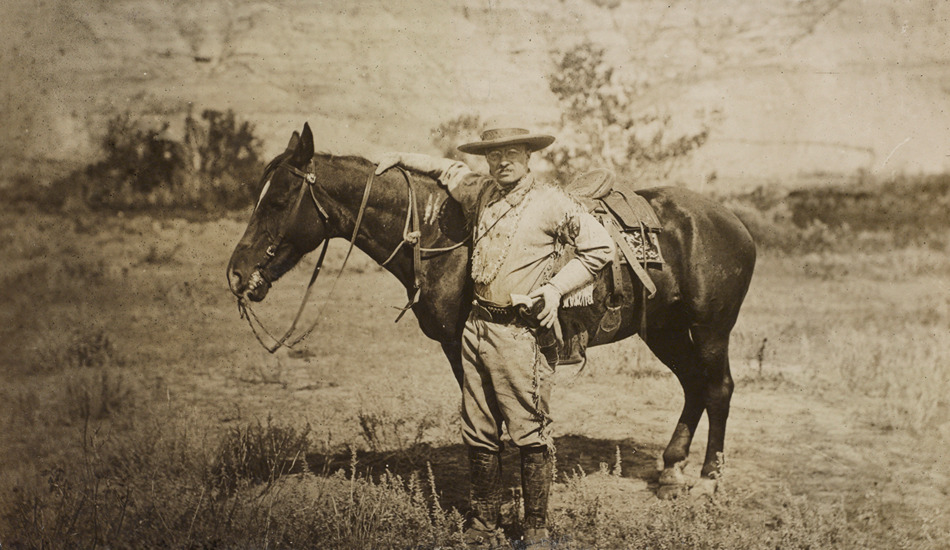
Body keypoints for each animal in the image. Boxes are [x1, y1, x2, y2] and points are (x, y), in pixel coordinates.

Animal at [229, 125, 760, 500]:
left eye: (278, 200)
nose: (236, 273)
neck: (439, 237)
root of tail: (733, 221)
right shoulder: (460, 346)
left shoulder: (463, 343)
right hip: (664, 330)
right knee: (693, 385)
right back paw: (671, 470)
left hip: (711, 328)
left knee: (718, 387)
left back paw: (708, 479)